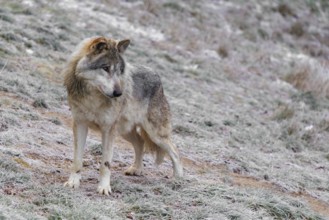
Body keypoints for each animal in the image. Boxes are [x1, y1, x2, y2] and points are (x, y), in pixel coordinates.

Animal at [62, 37, 182, 195]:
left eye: (119, 71)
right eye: (106, 68)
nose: (119, 93)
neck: (93, 99)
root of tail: (158, 77)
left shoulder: (108, 130)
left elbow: (106, 163)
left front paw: (104, 188)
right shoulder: (80, 124)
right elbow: (77, 160)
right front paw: (73, 182)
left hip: (155, 135)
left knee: (175, 150)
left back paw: (178, 179)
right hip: (125, 131)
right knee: (140, 142)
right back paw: (136, 169)